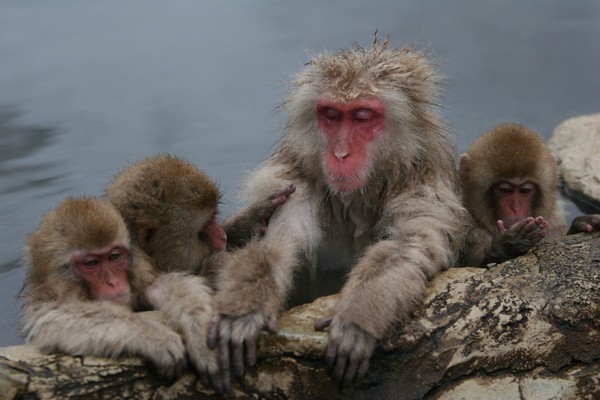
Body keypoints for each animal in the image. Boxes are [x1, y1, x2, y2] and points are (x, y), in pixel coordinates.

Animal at [210, 36, 468, 388]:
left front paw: (356, 317)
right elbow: (277, 242)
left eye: (361, 116)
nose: (341, 154)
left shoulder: (422, 187)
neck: (357, 197)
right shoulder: (298, 185)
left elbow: (405, 247)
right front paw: (246, 309)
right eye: (332, 115)